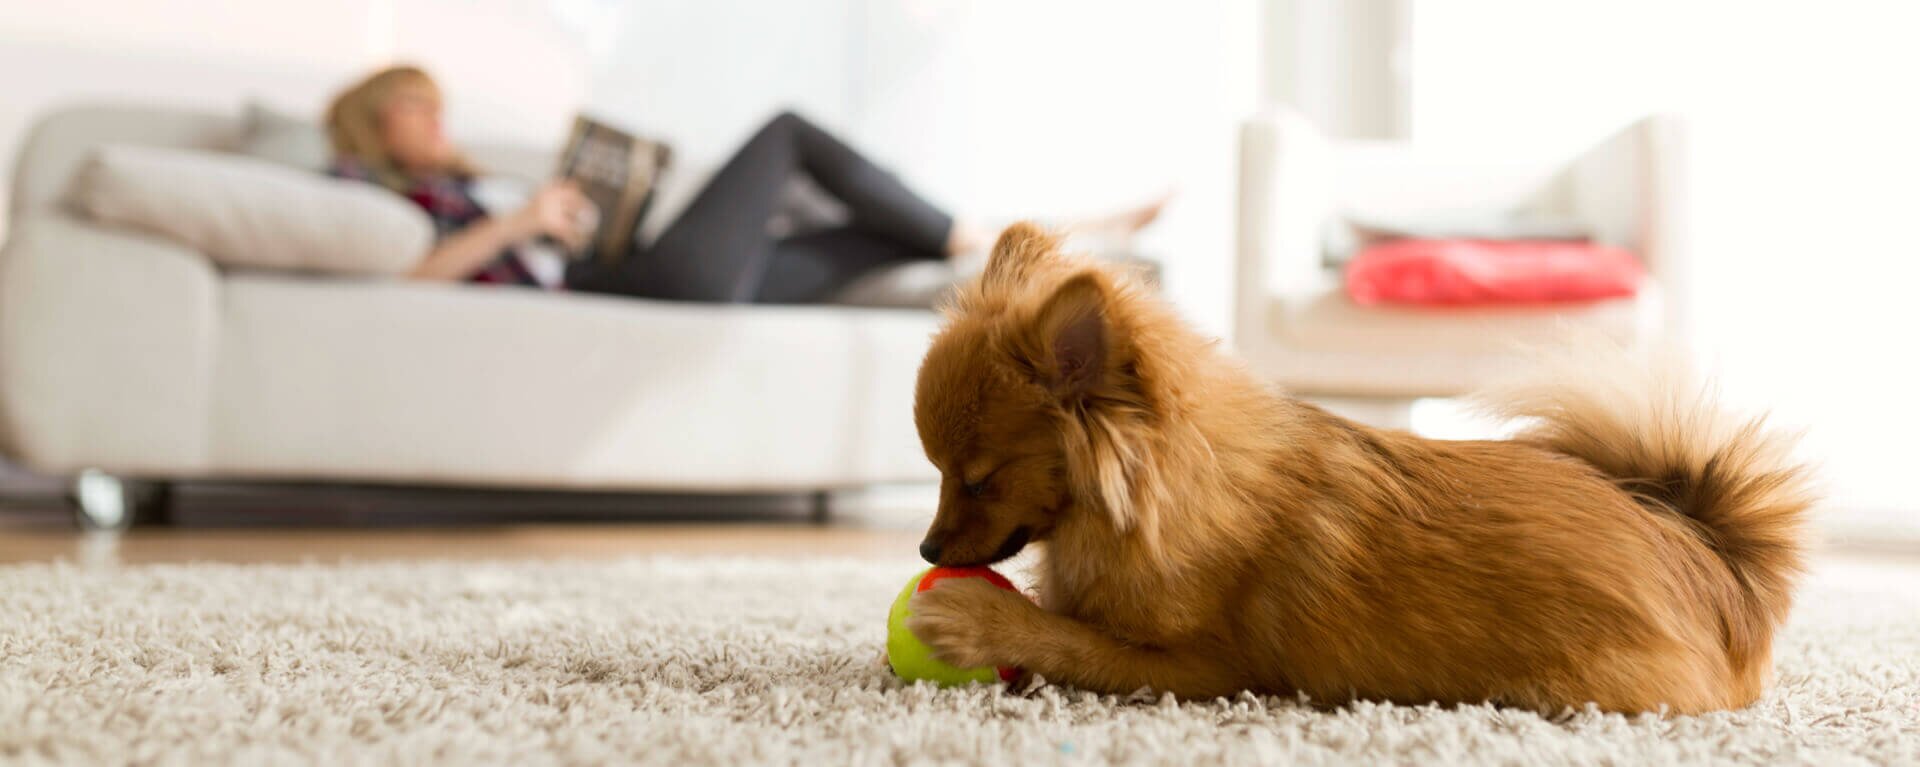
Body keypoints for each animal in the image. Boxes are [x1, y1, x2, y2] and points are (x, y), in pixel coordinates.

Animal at [898, 222, 1812, 715]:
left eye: (977, 478)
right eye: (938, 472)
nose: (926, 551)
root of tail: (1715, 558)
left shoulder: (1207, 669)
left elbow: (1071, 638)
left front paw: (979, 618)